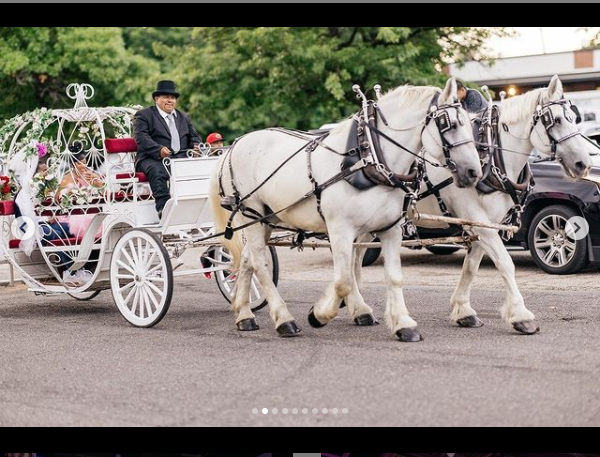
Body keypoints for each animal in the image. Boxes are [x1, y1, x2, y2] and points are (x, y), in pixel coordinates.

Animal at [211, 78, 482, 338]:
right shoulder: (340, 230)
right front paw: (318, 315)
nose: (473, 172)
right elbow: (343, 281)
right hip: (250, 214)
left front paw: (403, 324)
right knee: (261, 264)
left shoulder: (390, 228)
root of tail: (234, 146)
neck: (368, 157)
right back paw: (284, 319)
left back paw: (244, 315)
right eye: (449, 124)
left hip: (266, 218)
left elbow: (393, 277)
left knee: (247, 260)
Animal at [396, 74, 592, 332]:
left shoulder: (486, 224)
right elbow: (506, 263)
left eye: (573, 118)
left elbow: (471, 267)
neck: (489, 160)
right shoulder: (476, 218)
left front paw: (463, 311)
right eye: (557, 120)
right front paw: (521, 315)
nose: (584, 164)